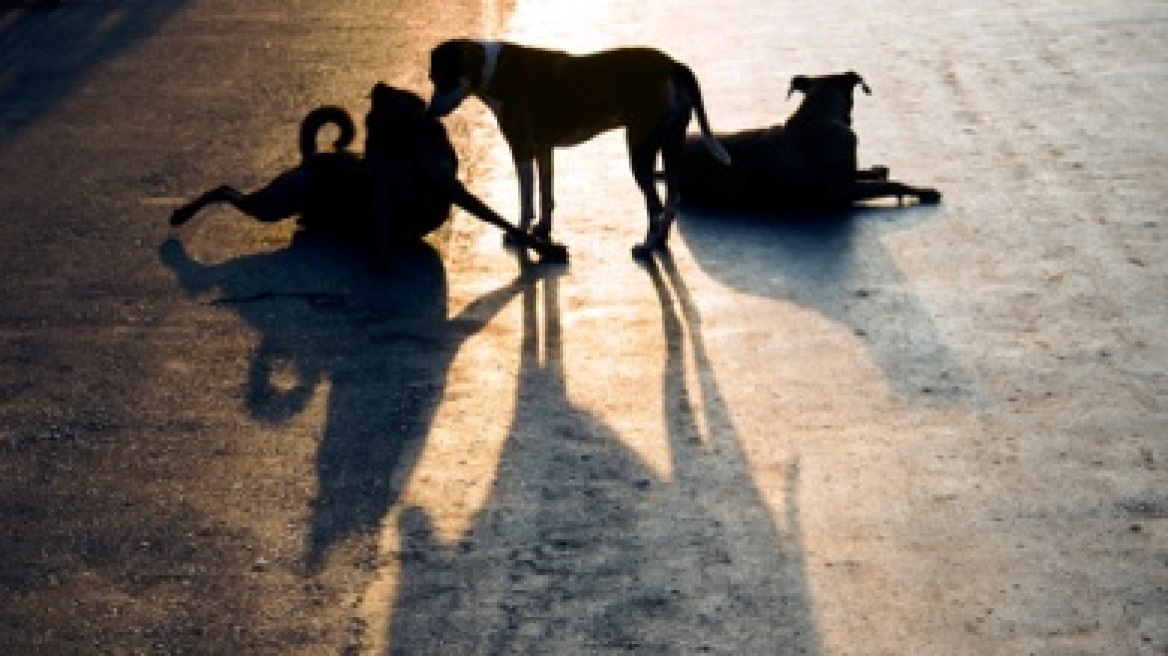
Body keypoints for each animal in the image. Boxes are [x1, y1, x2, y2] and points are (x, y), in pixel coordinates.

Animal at [170, 82, 567, 263]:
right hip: (275, 202)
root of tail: (310, 158)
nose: (378, 86)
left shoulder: (447, 187)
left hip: (284, 202)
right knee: (225, 189)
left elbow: (501, 219)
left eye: (394, 98)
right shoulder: (386, 185)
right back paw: (181, 213)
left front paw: (540, 245)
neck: (407, 147)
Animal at [425, 37, 733, 257]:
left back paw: (646, 247)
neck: (496, 70)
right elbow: (546, 194)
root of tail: (672, 64)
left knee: (655, 206)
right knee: (672, 199)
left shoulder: (521, 149)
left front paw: (520, 234)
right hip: (670, 145)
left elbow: (526, 200)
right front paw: (542, 231)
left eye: (444, 78)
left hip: (640, 149)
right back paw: (659, 242)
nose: (429, 111)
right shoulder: (543, 149)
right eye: (433, 78)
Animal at [677, 71, 939, 208]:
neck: (818, 116)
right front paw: (923, 191)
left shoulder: (848, 172)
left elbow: (867, 172)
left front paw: (875, 170)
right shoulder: (844, 190)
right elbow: (894, 184)